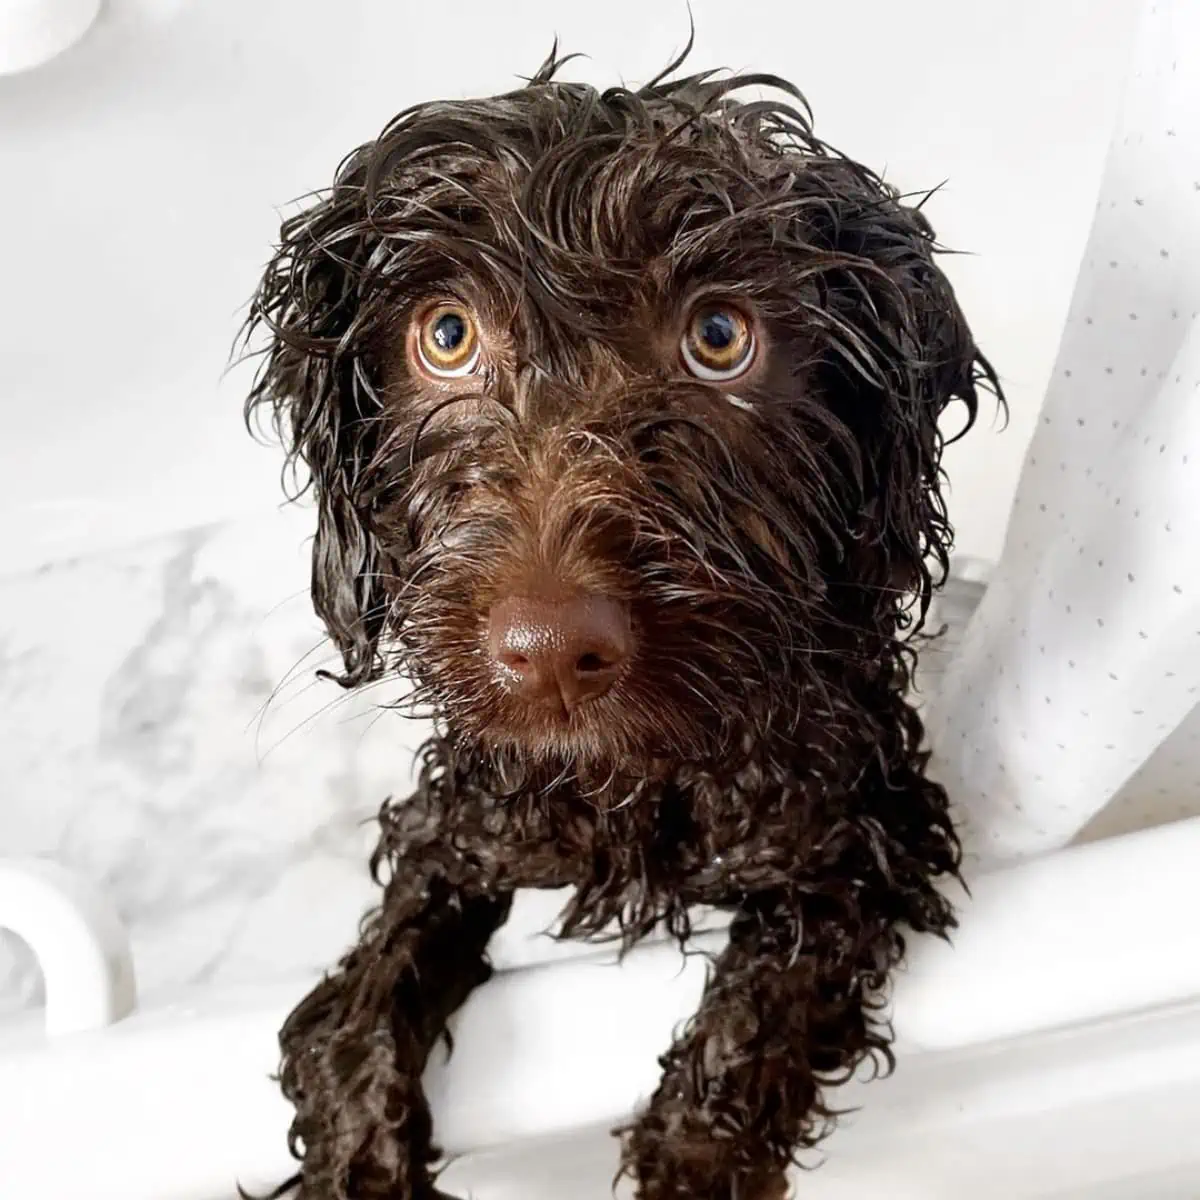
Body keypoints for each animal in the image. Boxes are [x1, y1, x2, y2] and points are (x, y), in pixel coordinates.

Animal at [243, 42, 1003, 1200]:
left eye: (719, 337)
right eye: (447, 336)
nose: (552, 653)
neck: (632, 785)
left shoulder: (865, 830)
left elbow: (754, 1020)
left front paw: (694, 1150)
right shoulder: (464, 821)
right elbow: (356, 1018)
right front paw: (363, 1159)